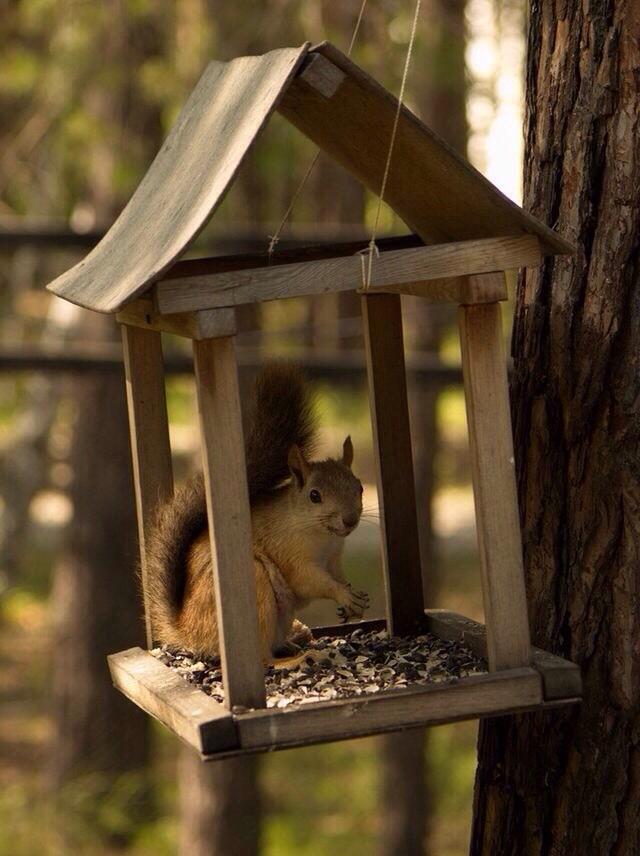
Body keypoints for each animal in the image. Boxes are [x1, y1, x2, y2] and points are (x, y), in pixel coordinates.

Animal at [144, 364, 364, 664]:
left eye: (360, 487)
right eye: (314, 496)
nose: (350, 520)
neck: (322, 536)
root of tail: (189, 633)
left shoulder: (333, 559)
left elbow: (337, 575)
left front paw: (353, 600)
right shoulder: (289, 552)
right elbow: (309, 581)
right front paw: (342, 594)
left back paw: (295, 641)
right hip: (257, 587)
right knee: (263, 659)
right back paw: (296, 659)